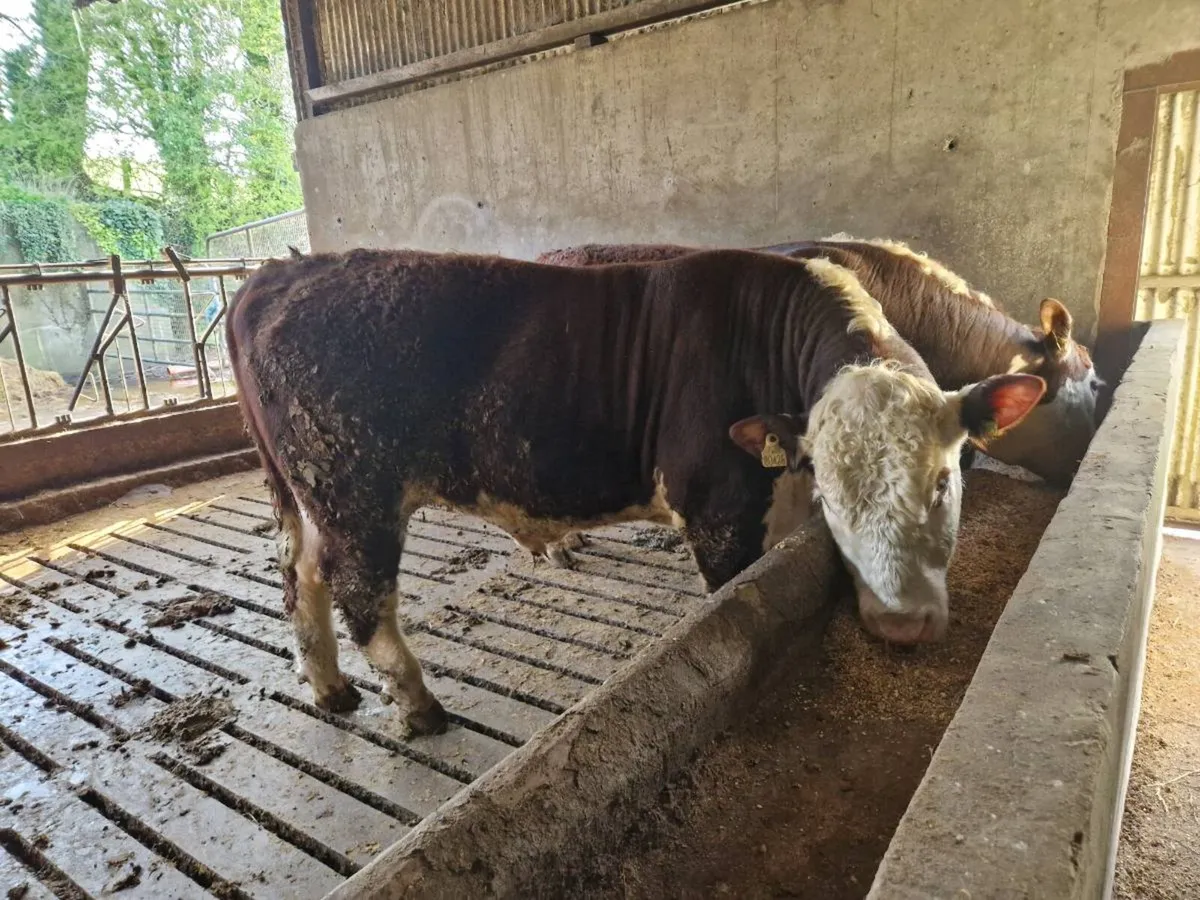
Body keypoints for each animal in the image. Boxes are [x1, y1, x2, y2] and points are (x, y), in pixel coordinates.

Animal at [227, 248, 1044, 734]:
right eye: (836, 498)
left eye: (945, 478)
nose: (902, 624)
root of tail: (280, 273)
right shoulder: (717, 511)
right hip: (353, 492)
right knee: (361, 594)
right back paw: (421, 706)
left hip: (300, 496)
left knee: (299, 578)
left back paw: (329, 688)